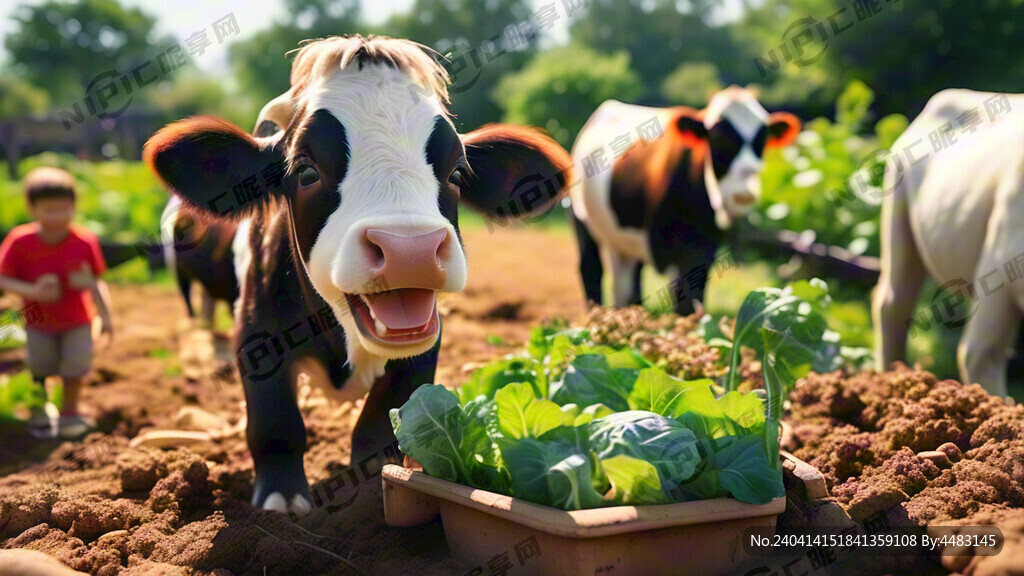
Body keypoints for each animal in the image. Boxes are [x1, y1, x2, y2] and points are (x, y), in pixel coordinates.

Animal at [569, 86, 798, 313]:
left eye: (762, 140)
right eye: (717, 139)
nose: (743, 195)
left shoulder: (702, 249)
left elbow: (691, 300)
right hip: (582, 220)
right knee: (591, 269)